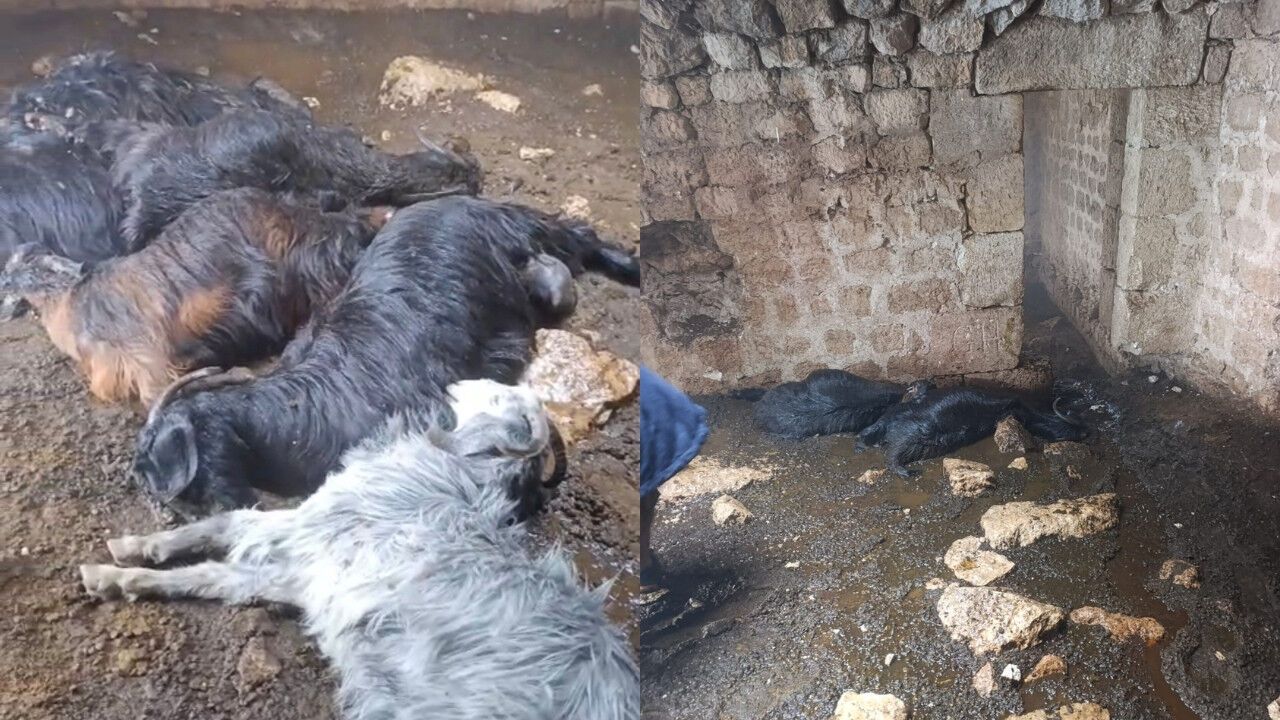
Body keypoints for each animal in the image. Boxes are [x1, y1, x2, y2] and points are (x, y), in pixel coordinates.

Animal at [80, 378, 639, 720]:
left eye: (508, 400)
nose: (464, 382)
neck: (452, 469)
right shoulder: (304, 575)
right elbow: (214, 569)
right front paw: (131, 562)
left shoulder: (308, 526)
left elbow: (224, 533)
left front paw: (114, 566)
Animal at [131, 196, 635, 517]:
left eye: (197, 449)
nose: (167, 505)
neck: (300, 413)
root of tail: (471, 204)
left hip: (527, 234)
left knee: (575, 232)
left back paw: (629, 266)